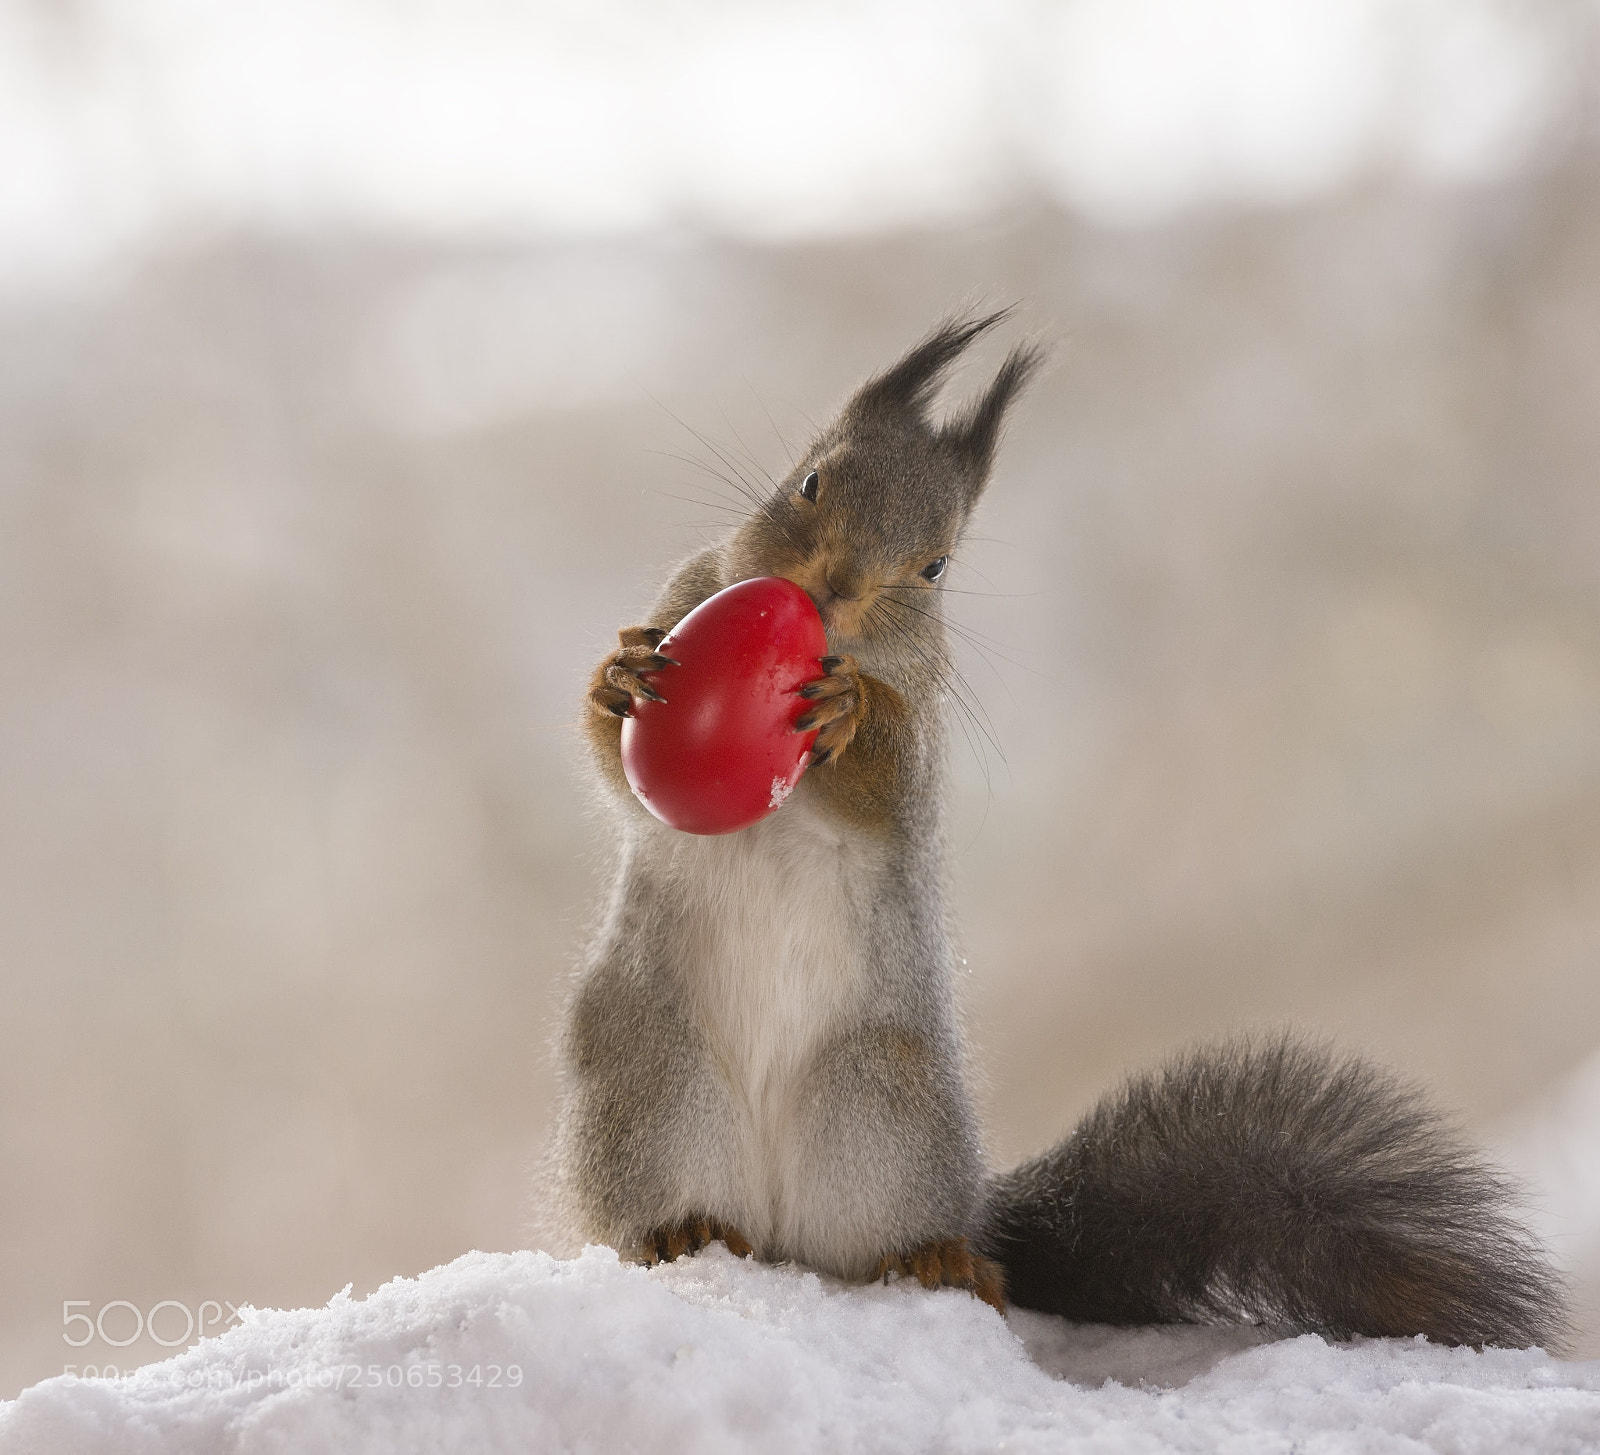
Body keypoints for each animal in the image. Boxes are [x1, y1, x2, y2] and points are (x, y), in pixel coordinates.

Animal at [555, 310, 1566, 1350]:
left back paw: (940, 1260)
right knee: (668, 1202)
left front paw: (847, 709)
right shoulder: (689, 595)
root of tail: (778, 1229)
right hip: (651, 1083)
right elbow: (619, 773)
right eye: (810, 480)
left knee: (917, 1251)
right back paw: (678, 1229)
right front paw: (620, 678)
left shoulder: (923, 736)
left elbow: (891, 788)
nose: (833, 585)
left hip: (883, 1105)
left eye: (936, 566)